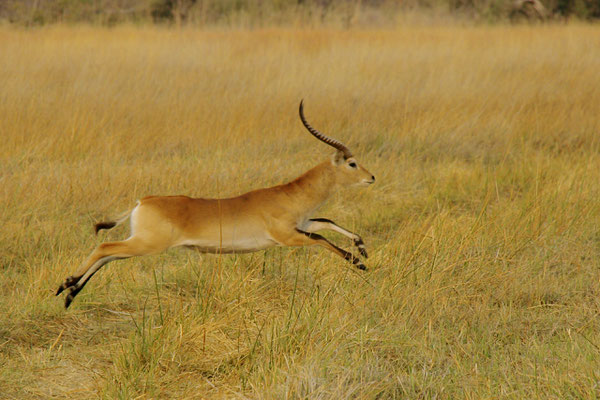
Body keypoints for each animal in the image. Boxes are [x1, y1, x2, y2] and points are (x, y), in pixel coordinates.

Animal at [56, 101, 376, 308]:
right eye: (352, 162)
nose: (371, 177)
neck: (289, 195)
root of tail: (143, 200)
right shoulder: (288, 236)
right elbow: (321, 237)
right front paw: (359, 263)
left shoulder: (301, 223)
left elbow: (327, 222)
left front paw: (362, 248)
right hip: (147, 244)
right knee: (104, 248)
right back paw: (66, 285)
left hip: (140, 243)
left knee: (108, 256)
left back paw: (70, 291)